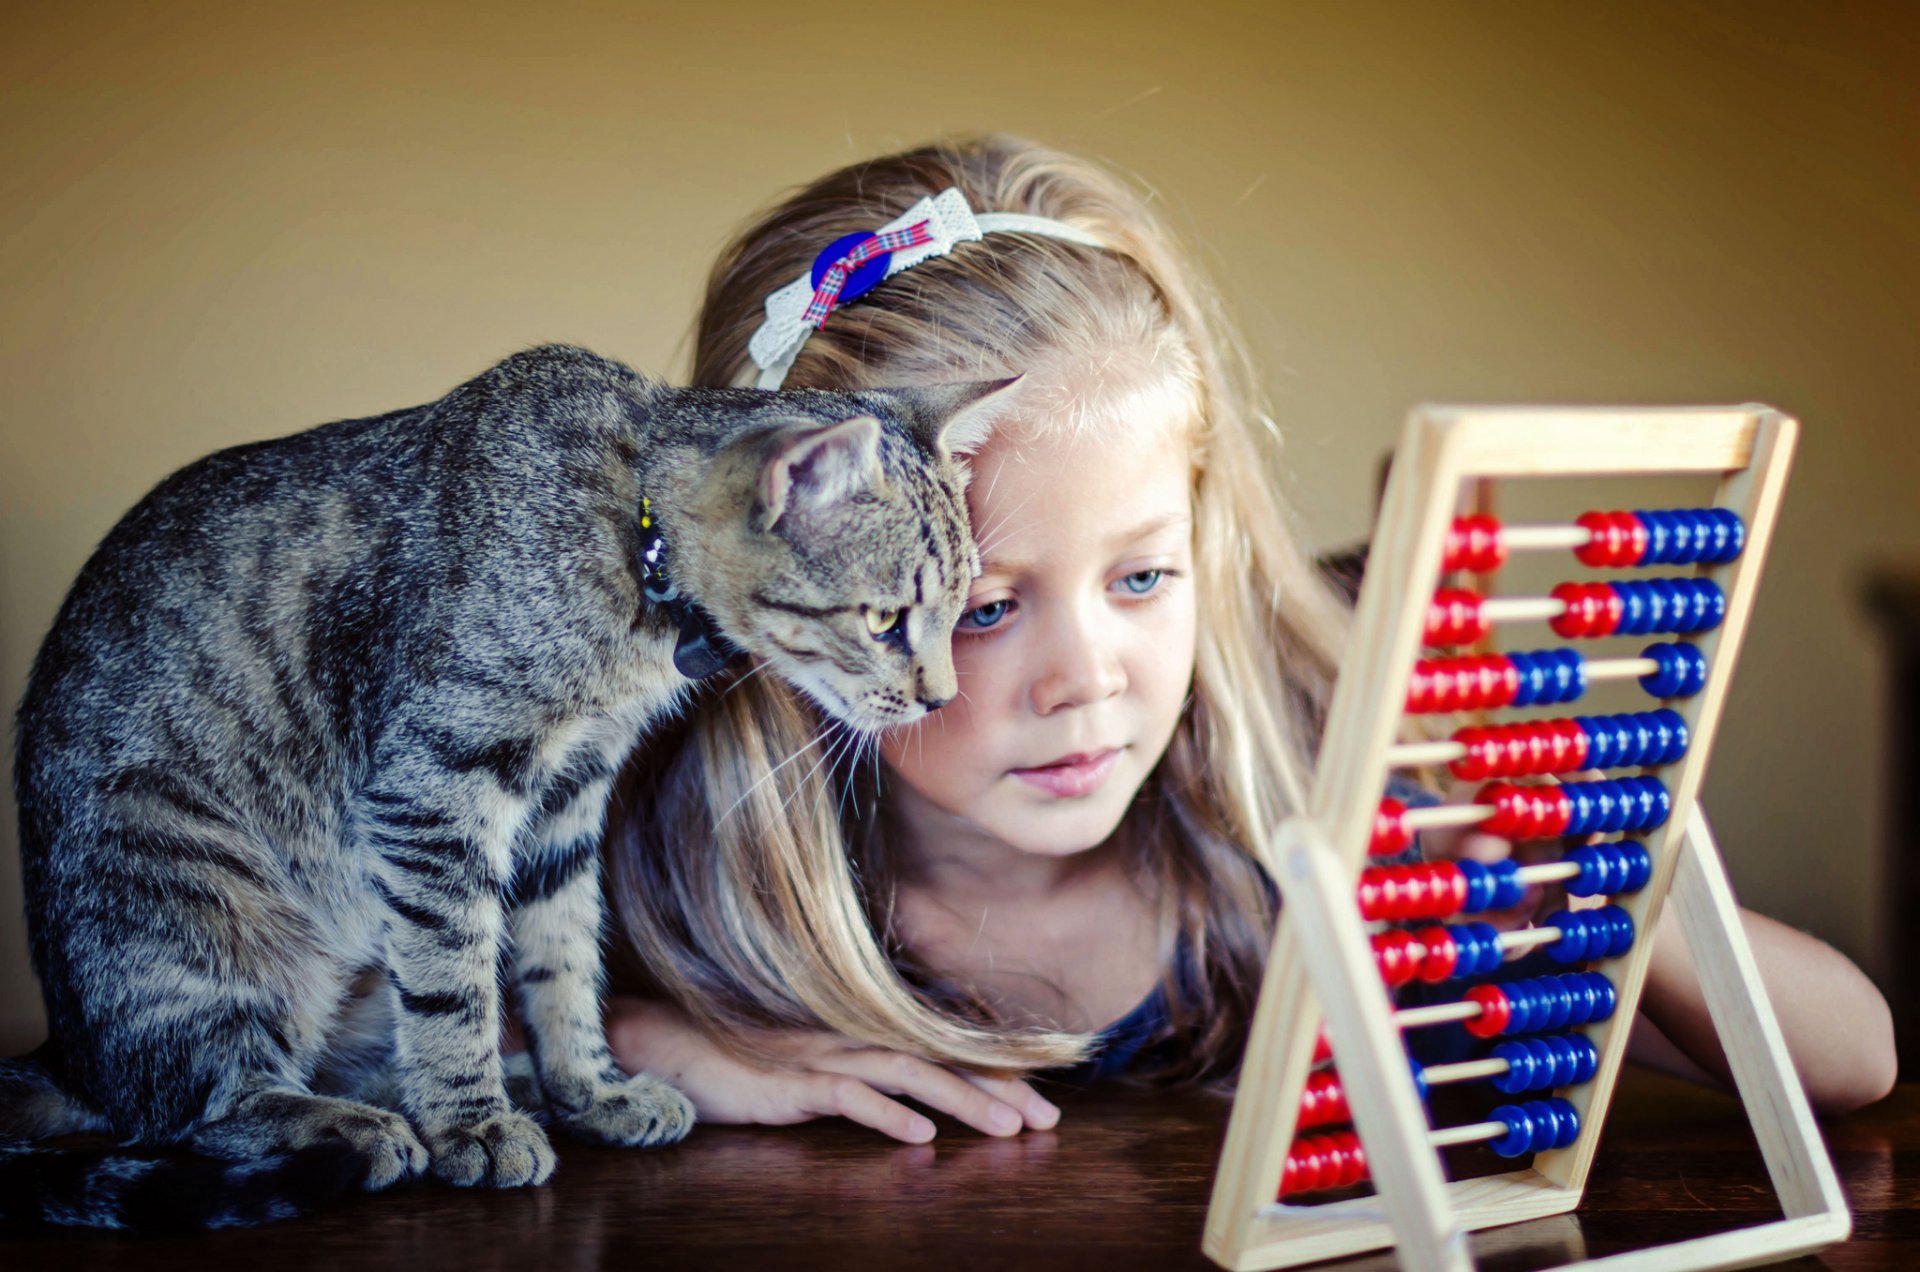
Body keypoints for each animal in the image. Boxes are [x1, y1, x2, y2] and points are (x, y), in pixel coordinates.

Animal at [0, 343, 1013, 1229]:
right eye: (883, 621)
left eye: (962, 613)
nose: (941, 696)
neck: (632, 550)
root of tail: (69, 1054)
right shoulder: (434, 788)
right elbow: (452, 978)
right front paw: (471, 1122)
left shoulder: (568, 797)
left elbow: (559, 958)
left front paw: (589, 1088)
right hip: (186, 888)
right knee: (201, 1104)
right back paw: (359, 1125)